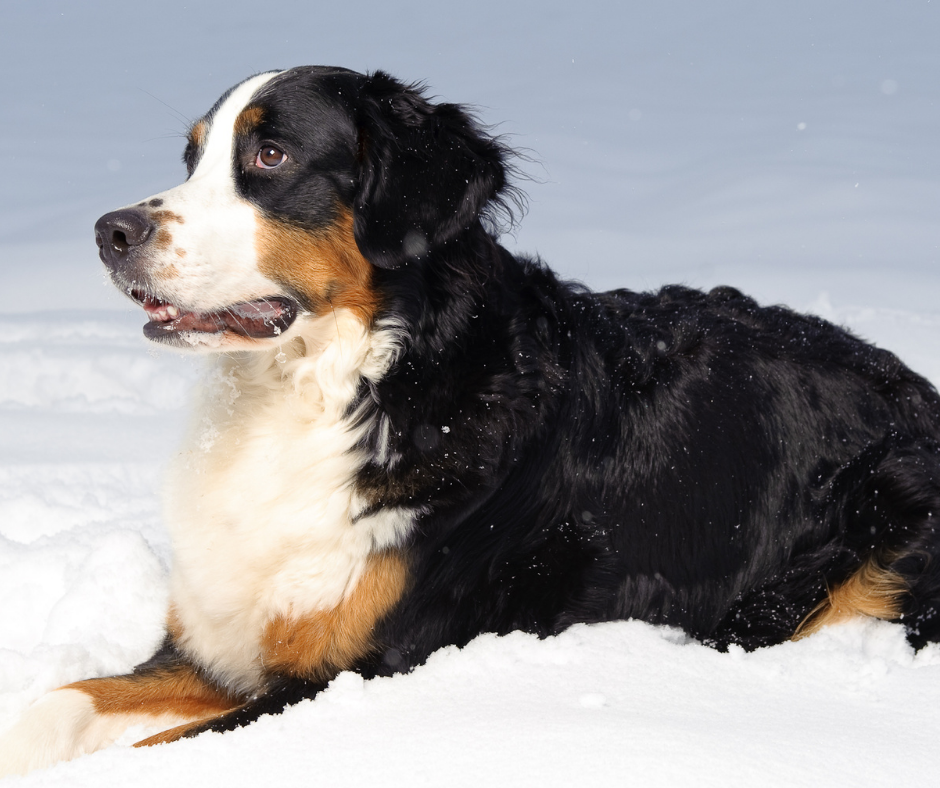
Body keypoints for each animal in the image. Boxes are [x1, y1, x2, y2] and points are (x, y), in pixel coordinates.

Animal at [1, 63, 940, 776]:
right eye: (193, 157)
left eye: (270, 154)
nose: (110, 231)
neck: (344, 388)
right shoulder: (209, 644)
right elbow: (63, 701)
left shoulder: (346, 670)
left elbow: (145, 756)